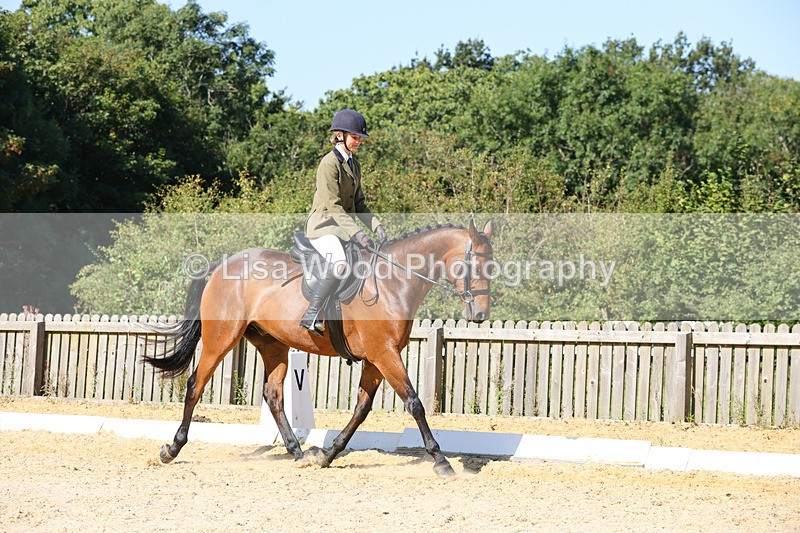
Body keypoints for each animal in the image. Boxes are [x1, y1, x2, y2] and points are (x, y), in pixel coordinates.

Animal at [145, 219, 494, 477]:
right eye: (475, 266)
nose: (480, 315)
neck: (393, 281)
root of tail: (220, 266)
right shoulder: (384, 354)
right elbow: (414, 403)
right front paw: (441, 461)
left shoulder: (376, 358)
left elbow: (361, 409)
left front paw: (327, 455)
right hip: (222, 338)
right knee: (195, 384)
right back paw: (171, 449)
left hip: (273, 345)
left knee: (273, 396)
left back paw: (297, 453)